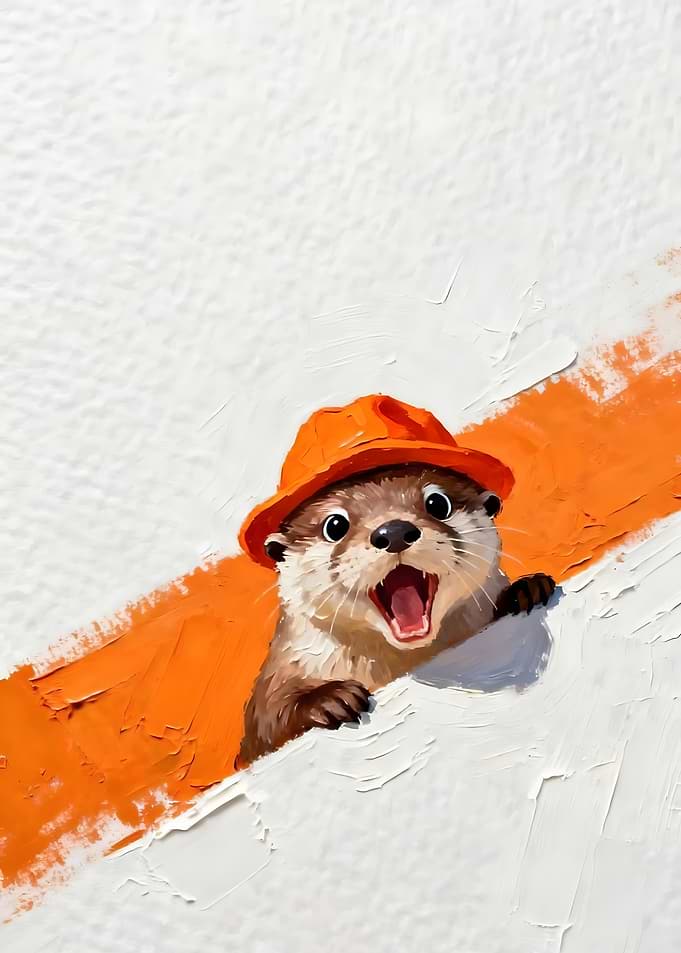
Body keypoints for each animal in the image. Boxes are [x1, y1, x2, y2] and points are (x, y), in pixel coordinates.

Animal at [238, 464, 554, 765]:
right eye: (335, 525)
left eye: (438, 503)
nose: (393, 532)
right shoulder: (281, 674)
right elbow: (268, 725)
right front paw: (328, 700)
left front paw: (525, 589)